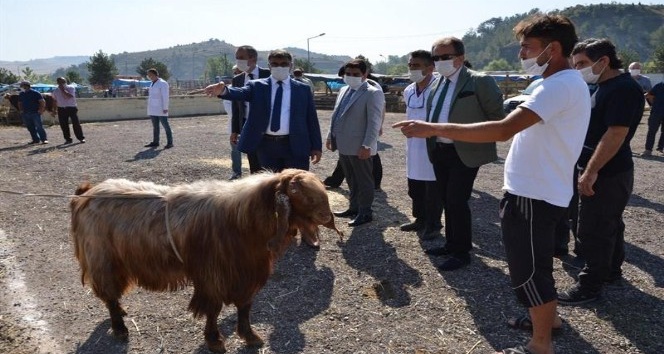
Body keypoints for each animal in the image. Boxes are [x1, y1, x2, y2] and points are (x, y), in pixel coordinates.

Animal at [71, 169, 342, 352]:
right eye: (297, 193)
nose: (327, 216)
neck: (241, 221)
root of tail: (86, 193)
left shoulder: (246, 274)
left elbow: (245, 307)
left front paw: (250, 336)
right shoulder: (214, 277)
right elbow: (213, 310)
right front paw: (215, 341)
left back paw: (121, 312)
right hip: (103, 260)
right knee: (109, 294)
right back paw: (120, 328)